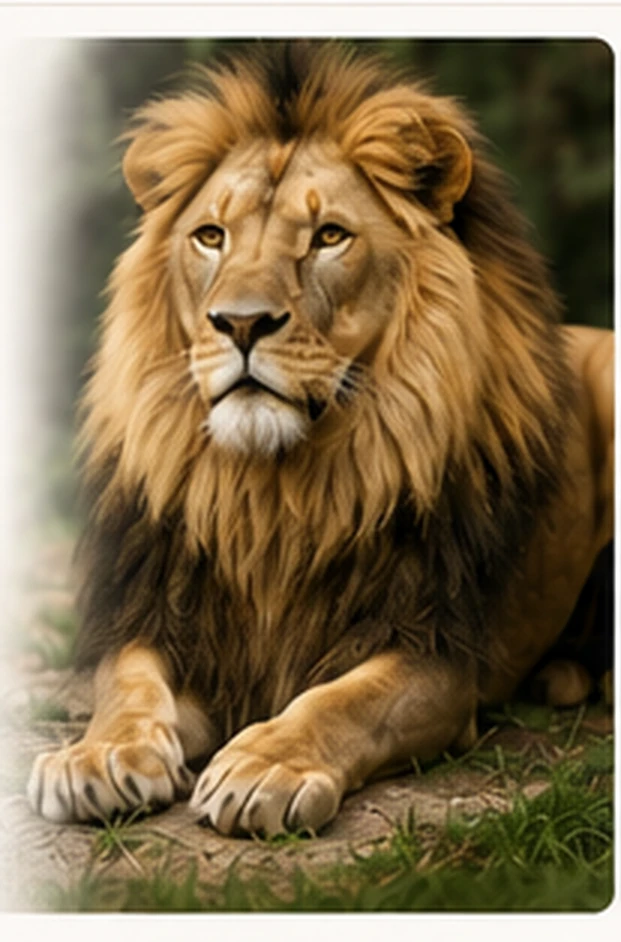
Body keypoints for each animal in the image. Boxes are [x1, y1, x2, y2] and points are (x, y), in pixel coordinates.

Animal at [27, 44, 613, 837]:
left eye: (329, 236)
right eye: (210, 236)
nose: (240, 323)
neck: (271, 492)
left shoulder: (432, 651)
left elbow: (344, 701)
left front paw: (263, 765)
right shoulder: (165, 615)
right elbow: (126, 683)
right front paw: (97, 755)